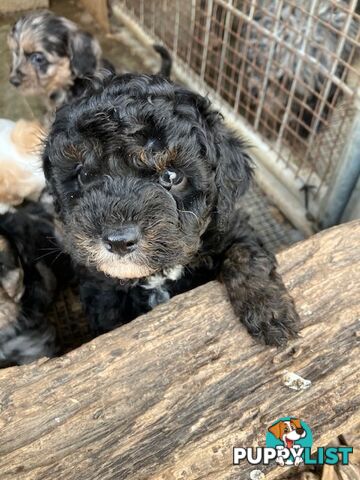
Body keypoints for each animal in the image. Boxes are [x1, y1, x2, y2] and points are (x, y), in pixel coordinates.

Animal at [43, 72, 300, 344]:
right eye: (83, 174)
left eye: (171, 176)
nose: (119, 241)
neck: (157, 274)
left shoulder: (229, 226)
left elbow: (245, 252)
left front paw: (269, 309)